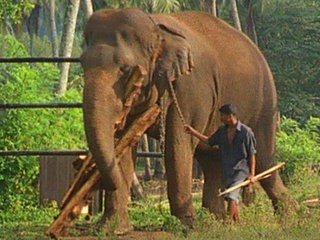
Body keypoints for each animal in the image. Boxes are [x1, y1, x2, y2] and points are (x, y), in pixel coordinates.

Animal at [81, 7, 292, 232]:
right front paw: (112, 229)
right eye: (82, 64)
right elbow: (122, 144)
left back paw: (292, 215)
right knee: (212, 159)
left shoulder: (191, 88)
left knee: (263, 159)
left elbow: (177, 145)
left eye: (126, 69)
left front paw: (186, 225)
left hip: (265, 102)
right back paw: (215, 220)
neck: (156, 28)